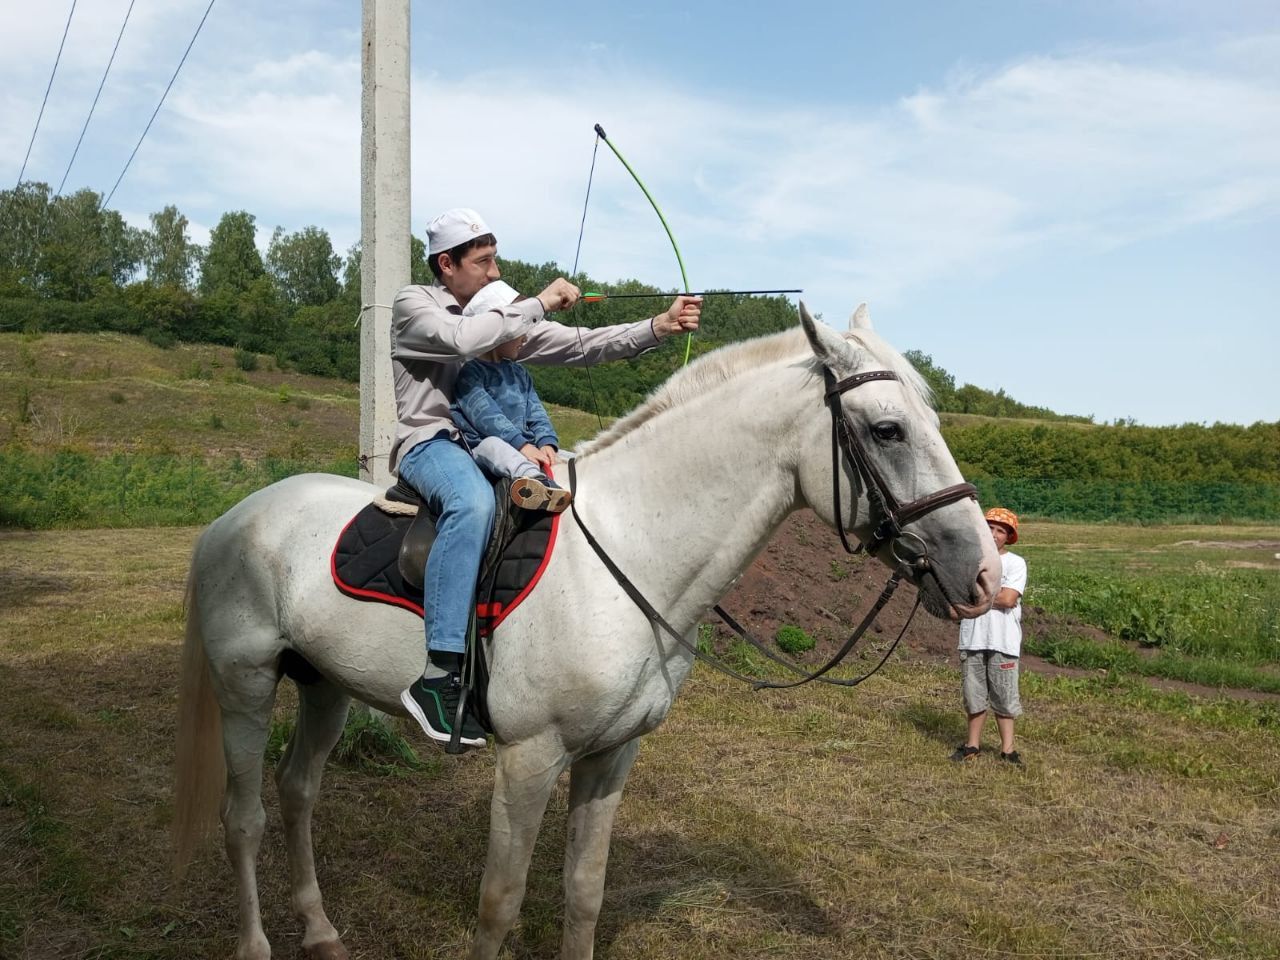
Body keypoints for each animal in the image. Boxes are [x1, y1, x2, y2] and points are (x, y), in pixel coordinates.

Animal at [175, 308, 1003, 960]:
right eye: (888, 430)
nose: (982, 577)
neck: (630, 552)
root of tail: (233, 517)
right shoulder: (528, 759)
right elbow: (499, 904)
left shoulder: (610, 757)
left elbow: (584, 893)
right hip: (247, 686)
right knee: (243, 819)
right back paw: (256, 944)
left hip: (325, 688)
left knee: (298, 793)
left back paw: (319, 931)